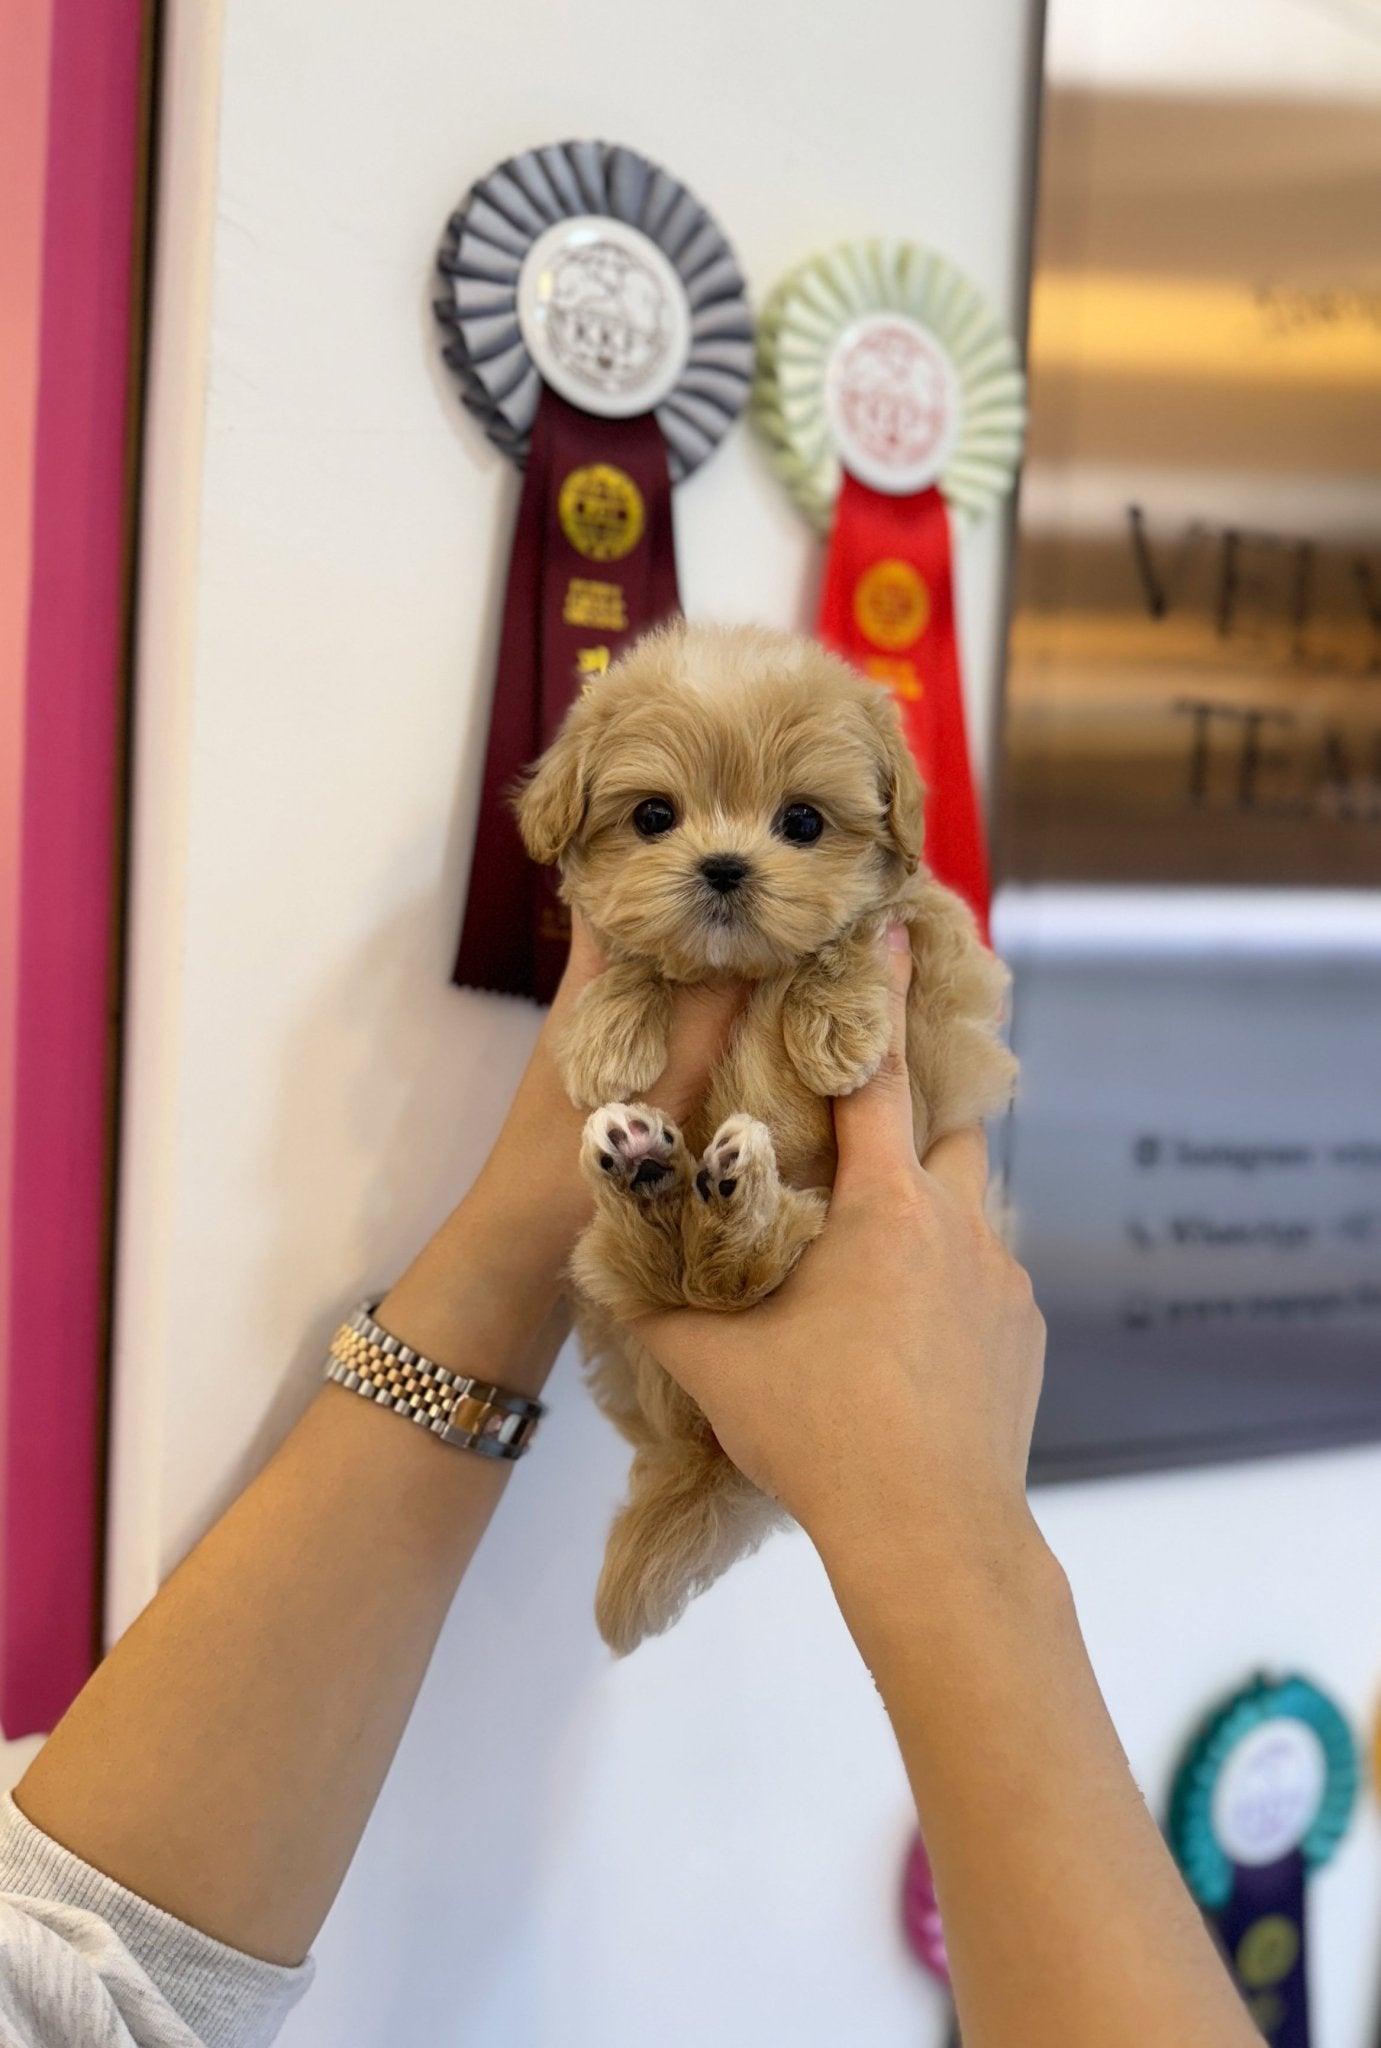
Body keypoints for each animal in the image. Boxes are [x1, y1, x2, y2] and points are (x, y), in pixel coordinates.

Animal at [516, 614, 1012, 1654]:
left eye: (804, 823)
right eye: (653, 816)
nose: (723, 867)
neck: (739, 971)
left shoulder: (941, 953)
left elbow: (867, 925)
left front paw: (836, 1027)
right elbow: (632, 952)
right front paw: (608, 1033)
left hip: (787, 1241)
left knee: (732, 1276)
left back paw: (719, 1189)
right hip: (625, 1317)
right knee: (676, 1278)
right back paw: (651, 1169)